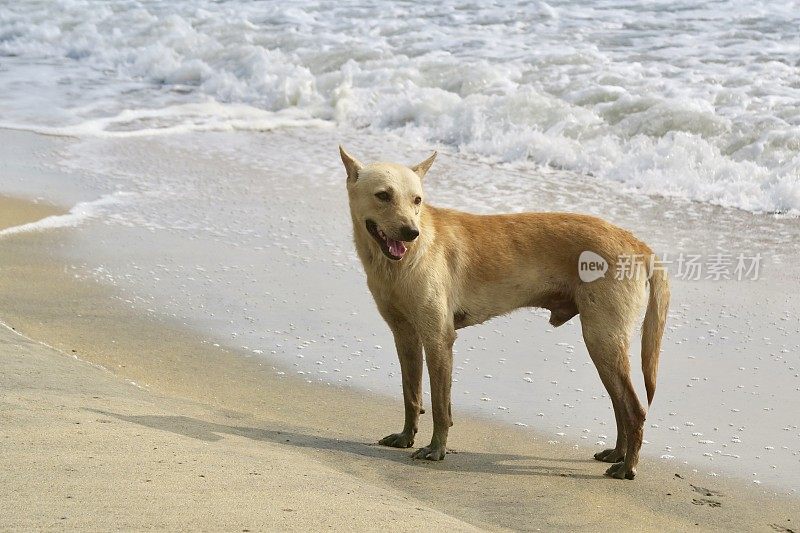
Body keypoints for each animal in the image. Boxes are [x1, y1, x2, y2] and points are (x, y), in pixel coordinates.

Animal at [340, 145, 672, 478]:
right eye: (383, 195)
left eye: (417, 200)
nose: (411, 233)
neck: (401, 262)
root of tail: (637, 243)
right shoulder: (405, 336)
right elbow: (411, 394)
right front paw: (406, 436)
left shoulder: (438, 340)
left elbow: (440, 406)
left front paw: (436, 450)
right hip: (604, 346)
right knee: (620, 405)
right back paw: (618, 453)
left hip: (602, 340)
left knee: (633, 409)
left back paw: (627, 466)